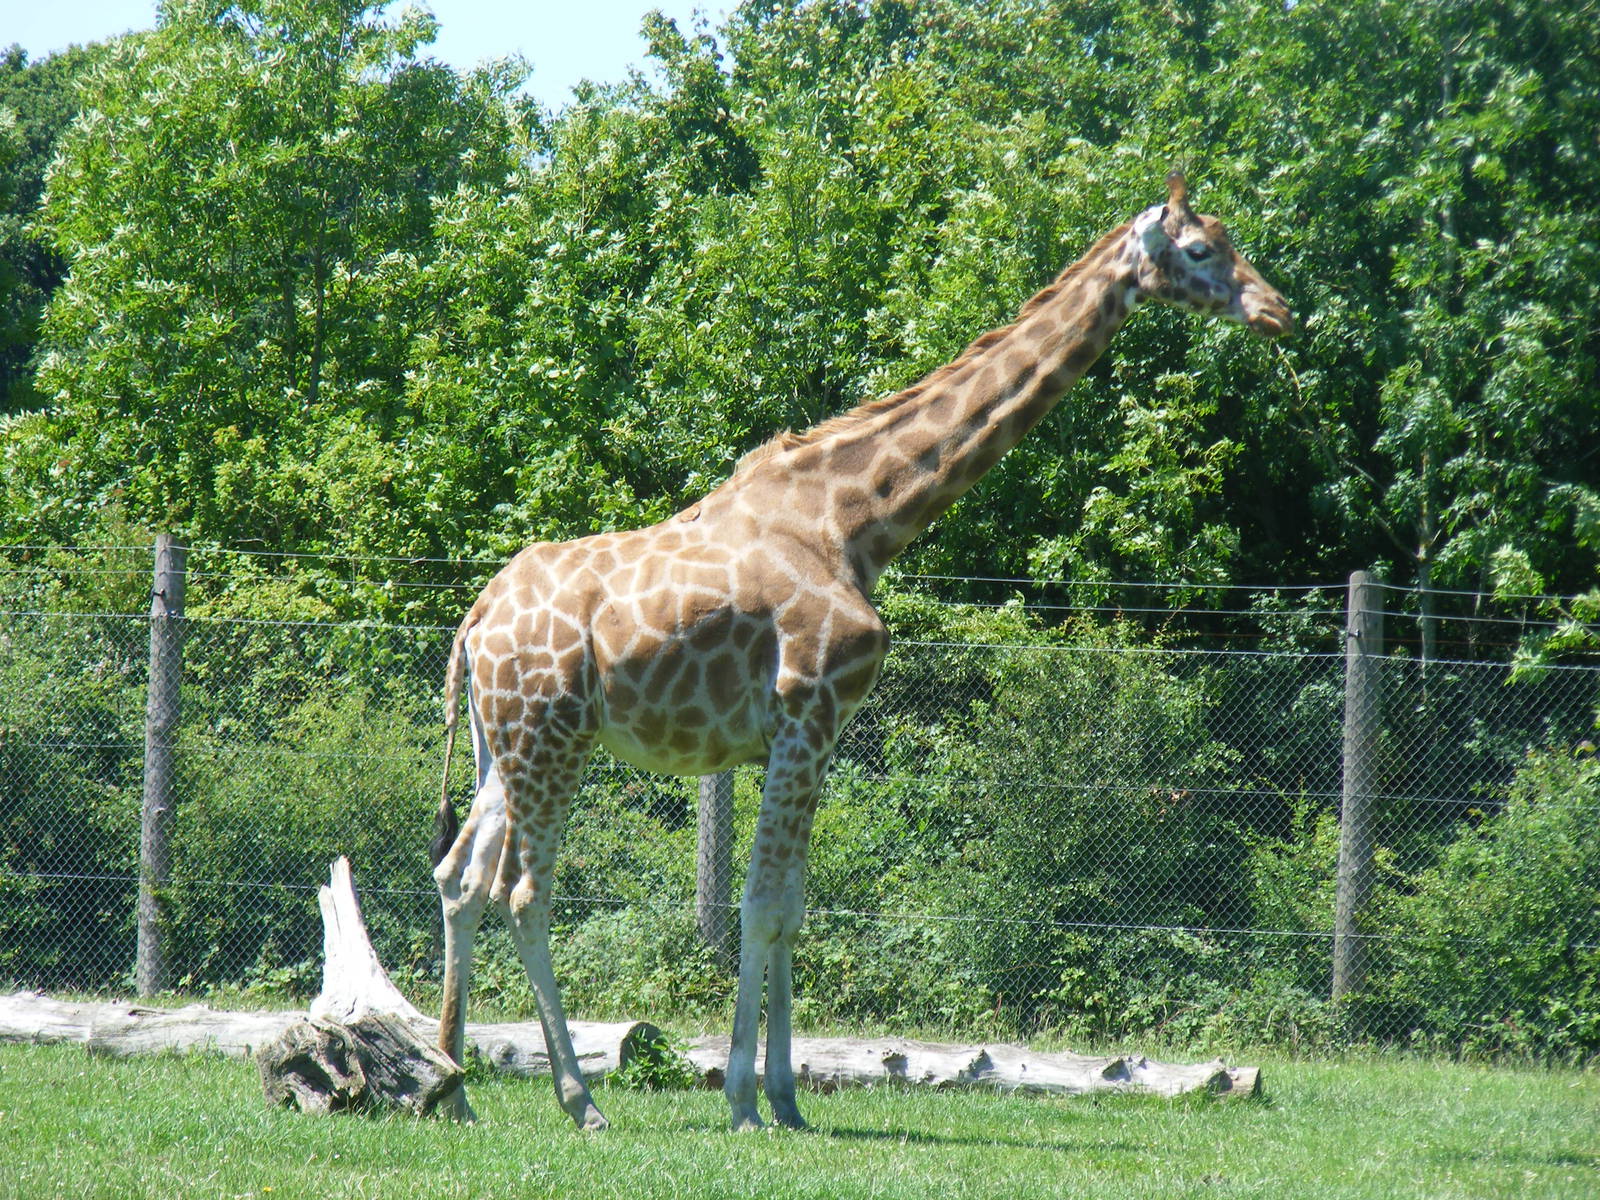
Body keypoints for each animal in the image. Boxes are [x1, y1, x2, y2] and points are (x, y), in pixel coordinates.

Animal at [428, 170, 1292, 1132]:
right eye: (1202, 250)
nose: (1278, 311)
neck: (860, 521)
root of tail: (475, 620)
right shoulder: (806, 714)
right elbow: (763, 907)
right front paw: (743, 1099)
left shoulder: (815, 734)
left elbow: (796, 908)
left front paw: (787, 1098)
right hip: (553, 737)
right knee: (523, 893)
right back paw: (577, 1101)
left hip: (505, 745)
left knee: (460, 879)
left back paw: (454, 1087)